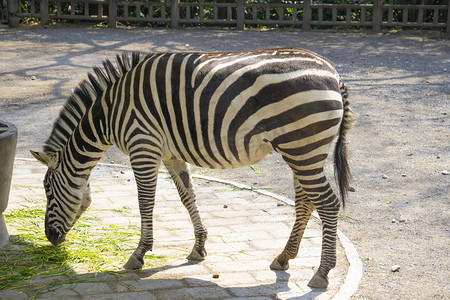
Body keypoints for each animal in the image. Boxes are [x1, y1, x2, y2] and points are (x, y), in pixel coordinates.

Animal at [30, 48, 356, 288]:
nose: (50, 238)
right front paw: (199, 247)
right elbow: (188, 196)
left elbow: (145, 201)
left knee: (327, 203)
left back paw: (322, 272)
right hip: (302, 150)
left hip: (302, 146)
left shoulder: (143, 145)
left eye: (47, 190)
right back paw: (284, 257)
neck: (109, 114)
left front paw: (139, 254)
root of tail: (333, 72)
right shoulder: (170, 152)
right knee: (306, 202)